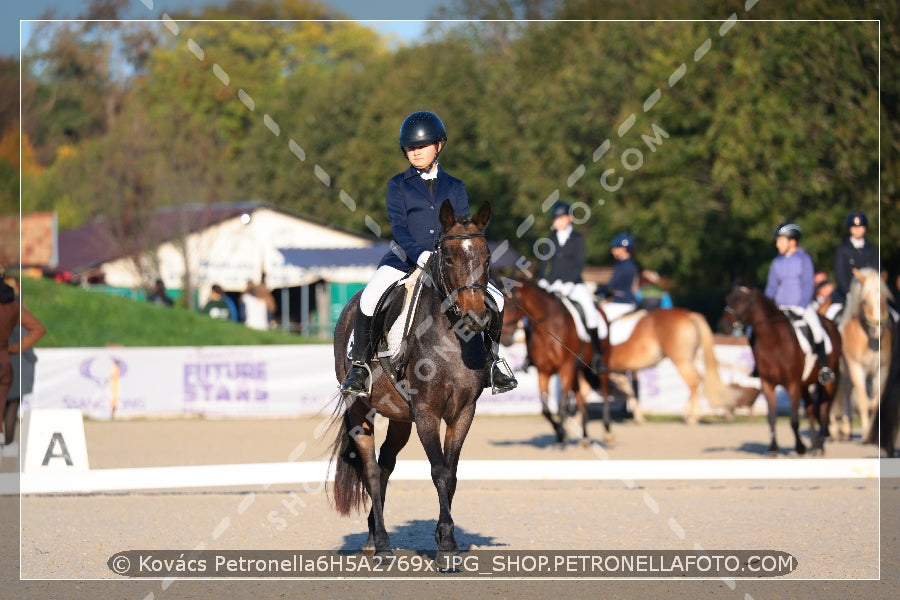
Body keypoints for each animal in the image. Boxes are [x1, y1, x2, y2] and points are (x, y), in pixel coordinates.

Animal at [330, 202, 492, 564]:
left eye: (487, 257)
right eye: (448, 259)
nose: (475, 317)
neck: (451, 339)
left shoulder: (464, 412)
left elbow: (452, 474)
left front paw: (445, 537)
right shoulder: (427, 412)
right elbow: (439, 471)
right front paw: (447, 546)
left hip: (400, 419)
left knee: (385, 466)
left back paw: (372, 534)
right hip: (358, 408)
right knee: (371, 471)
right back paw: (382, 544)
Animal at [496, 276, 616, 446]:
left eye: (511, 306)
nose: (505, 340)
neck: (549, 328)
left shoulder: (565, 368)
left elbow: (561, 406)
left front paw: (562, 437)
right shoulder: (544, 371)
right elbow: (545, 409)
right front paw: (559, 434)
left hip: (598, 365)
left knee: (605, 392)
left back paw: (607, 432)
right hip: (576, 371)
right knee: (581, 400)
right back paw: (585, 437)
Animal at [716, 288, 844, 454]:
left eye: (743, 301)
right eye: (727, 299)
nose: (723, 326)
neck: (773, 341)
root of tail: (832, 324)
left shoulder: (793, 384)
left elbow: (794, 419)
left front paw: (800, 447)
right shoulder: (768, 384)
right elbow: (771, 417)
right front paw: (773, 448)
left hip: (827, 382)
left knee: (823, 410)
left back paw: (820, 446)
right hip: (804, 384)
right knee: (810, 410)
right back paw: (815, 444)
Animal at [828, 268, 892, 440]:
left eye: (884, 299)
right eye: (864, 302)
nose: (877, 331)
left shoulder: (881, 369)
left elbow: (875, 403)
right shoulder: (857, 367)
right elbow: (863, 401)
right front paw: (865, 434)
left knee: (846, 389)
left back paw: (846, 428)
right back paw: (833, 430)